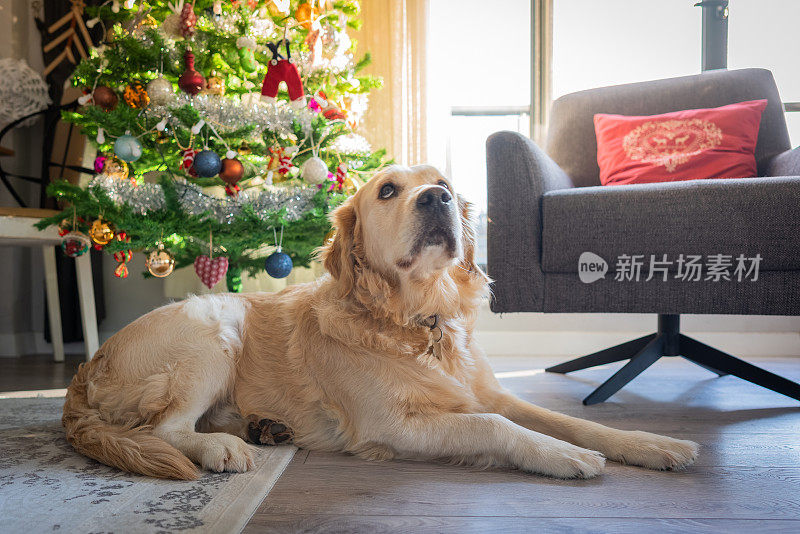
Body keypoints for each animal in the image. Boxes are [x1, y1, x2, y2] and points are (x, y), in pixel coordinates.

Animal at [64, 164, 700, 482]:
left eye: (446, 183)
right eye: (389, 190)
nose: (437, 197)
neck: (422, 320)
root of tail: (86, 369)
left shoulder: (488, 392)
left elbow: (571, 421)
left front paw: (653, 443)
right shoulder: (394, 426)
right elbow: (495, 426)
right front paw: (562, 456)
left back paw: (263, 427)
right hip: (212, 326)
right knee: (166, 429)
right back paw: (222, 446)